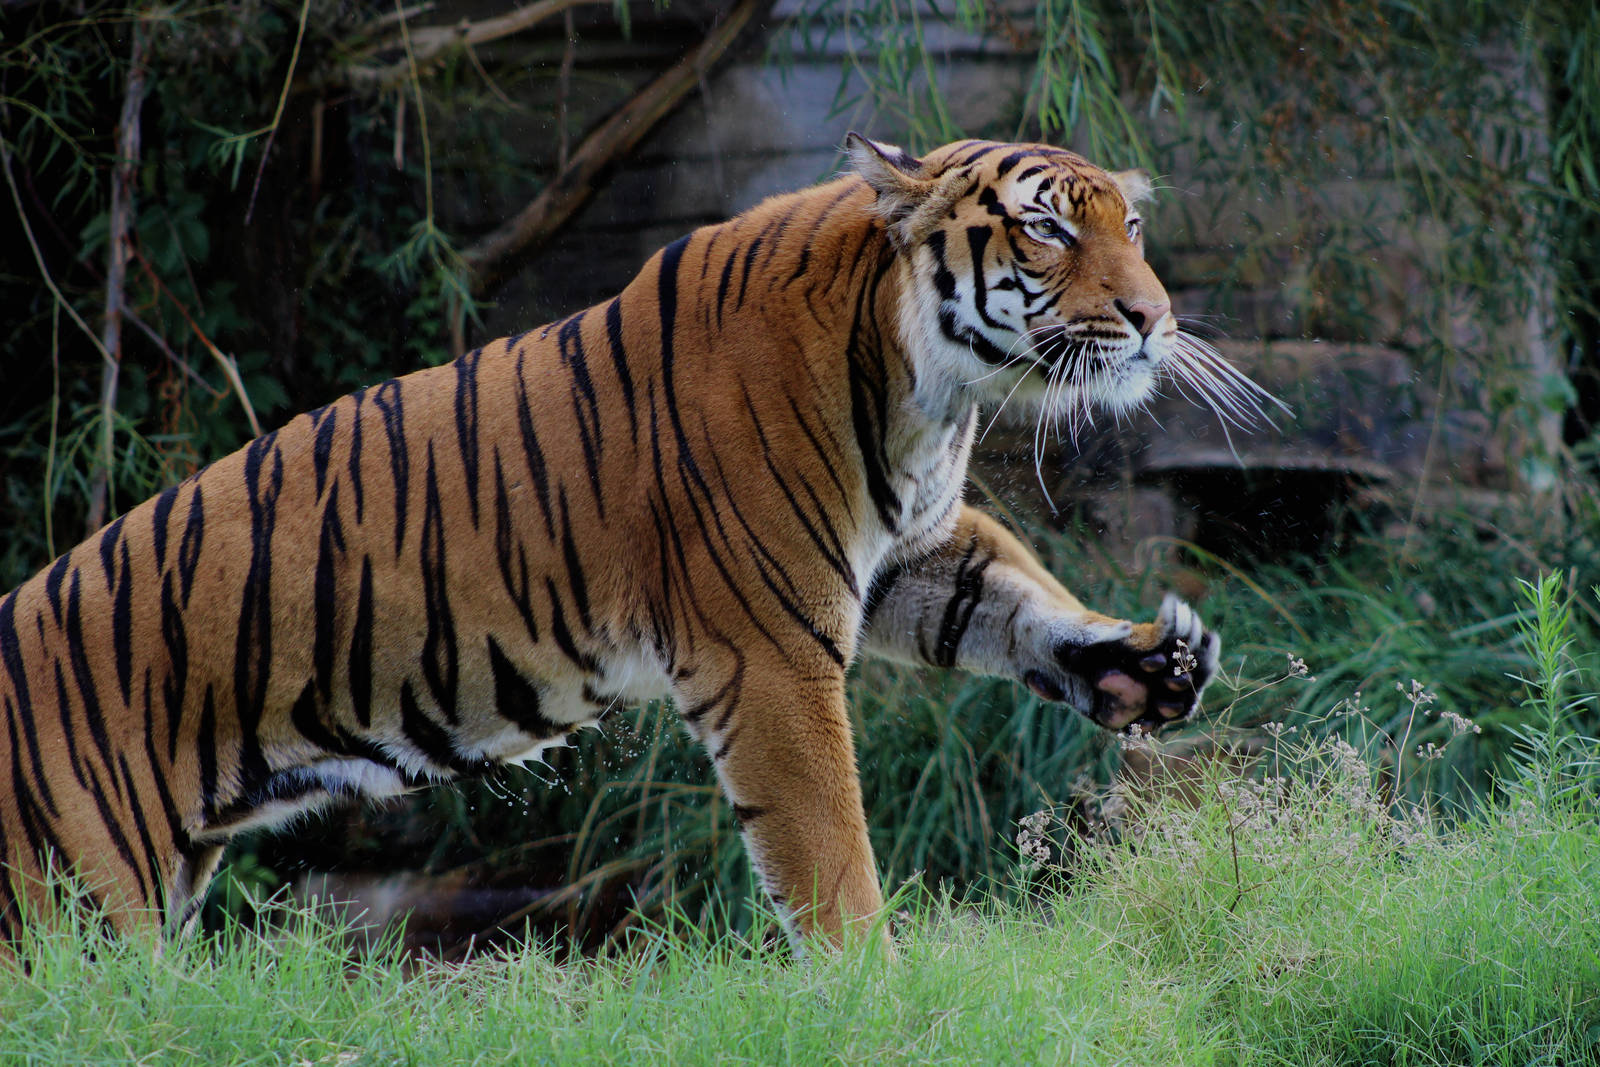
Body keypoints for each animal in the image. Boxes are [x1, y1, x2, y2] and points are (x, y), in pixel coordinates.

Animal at [0, 134, 1232, 950]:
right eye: (1047, 227)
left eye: (1128, 226)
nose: (1153, 319)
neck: (925, 390)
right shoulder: (770, 650)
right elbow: (829, 852)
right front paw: (875, 991)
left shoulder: (902, 550)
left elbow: (1003, 593)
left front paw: (1143, 659)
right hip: (73, 905)